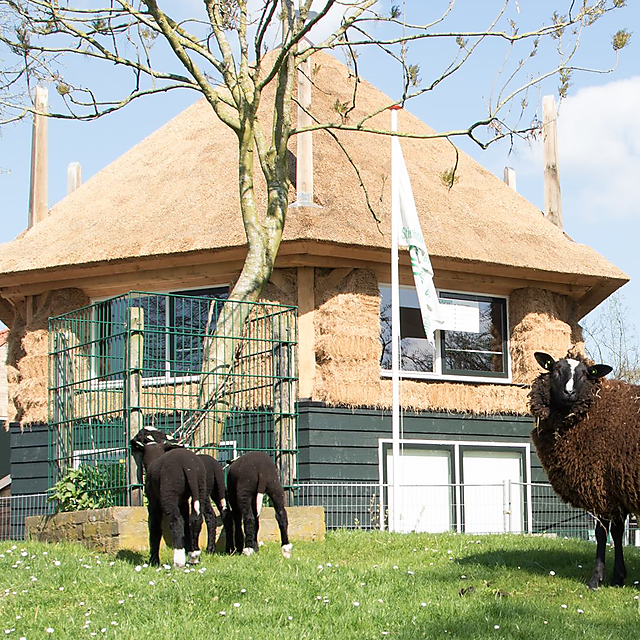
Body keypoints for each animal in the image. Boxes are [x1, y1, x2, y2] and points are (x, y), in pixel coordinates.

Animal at [131, 428, 206, 568]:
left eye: (139, 435)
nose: (131, 441)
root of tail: (189, 466)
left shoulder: (153, 502)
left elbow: (155, 528)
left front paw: (154, 560)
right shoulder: (182, 502)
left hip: (169, 493)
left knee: (176, 521)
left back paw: (178, 561)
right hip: (201, 488)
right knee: (195, 519)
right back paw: (194, 556)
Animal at [528, 350, 640, 592]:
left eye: (585, 373)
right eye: (556, 369)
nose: (569, 393)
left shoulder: (600, 486)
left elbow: (601, 534)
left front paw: (596, 579)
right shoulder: (614, 490)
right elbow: (617, 533)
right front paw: (618, 577)